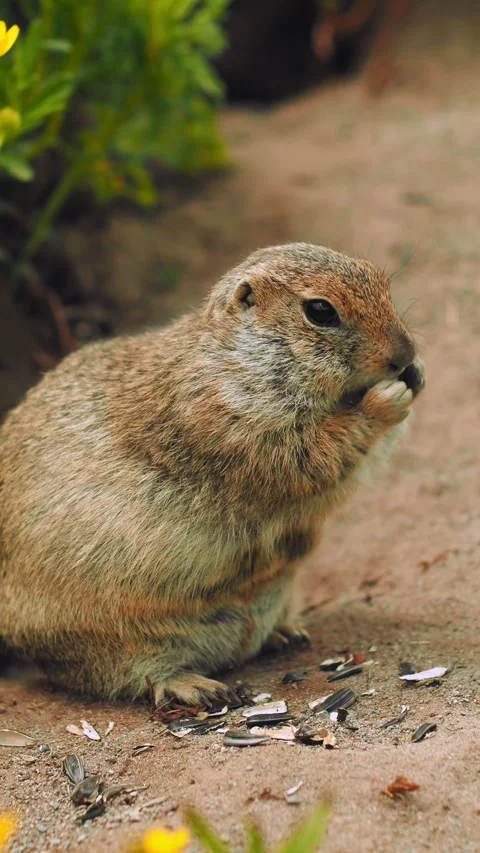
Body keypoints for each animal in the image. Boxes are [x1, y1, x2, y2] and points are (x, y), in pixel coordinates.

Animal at [0, 243, 425, 705]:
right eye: (320, 310)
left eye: (380, 281)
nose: (405, 354)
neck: (234, 360)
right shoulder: (228, 425)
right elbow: (312, 455)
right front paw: (386, 398)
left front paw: (416, 377)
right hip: (106, 639)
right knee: (127, 675)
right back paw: (196, 685)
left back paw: (283, 633)